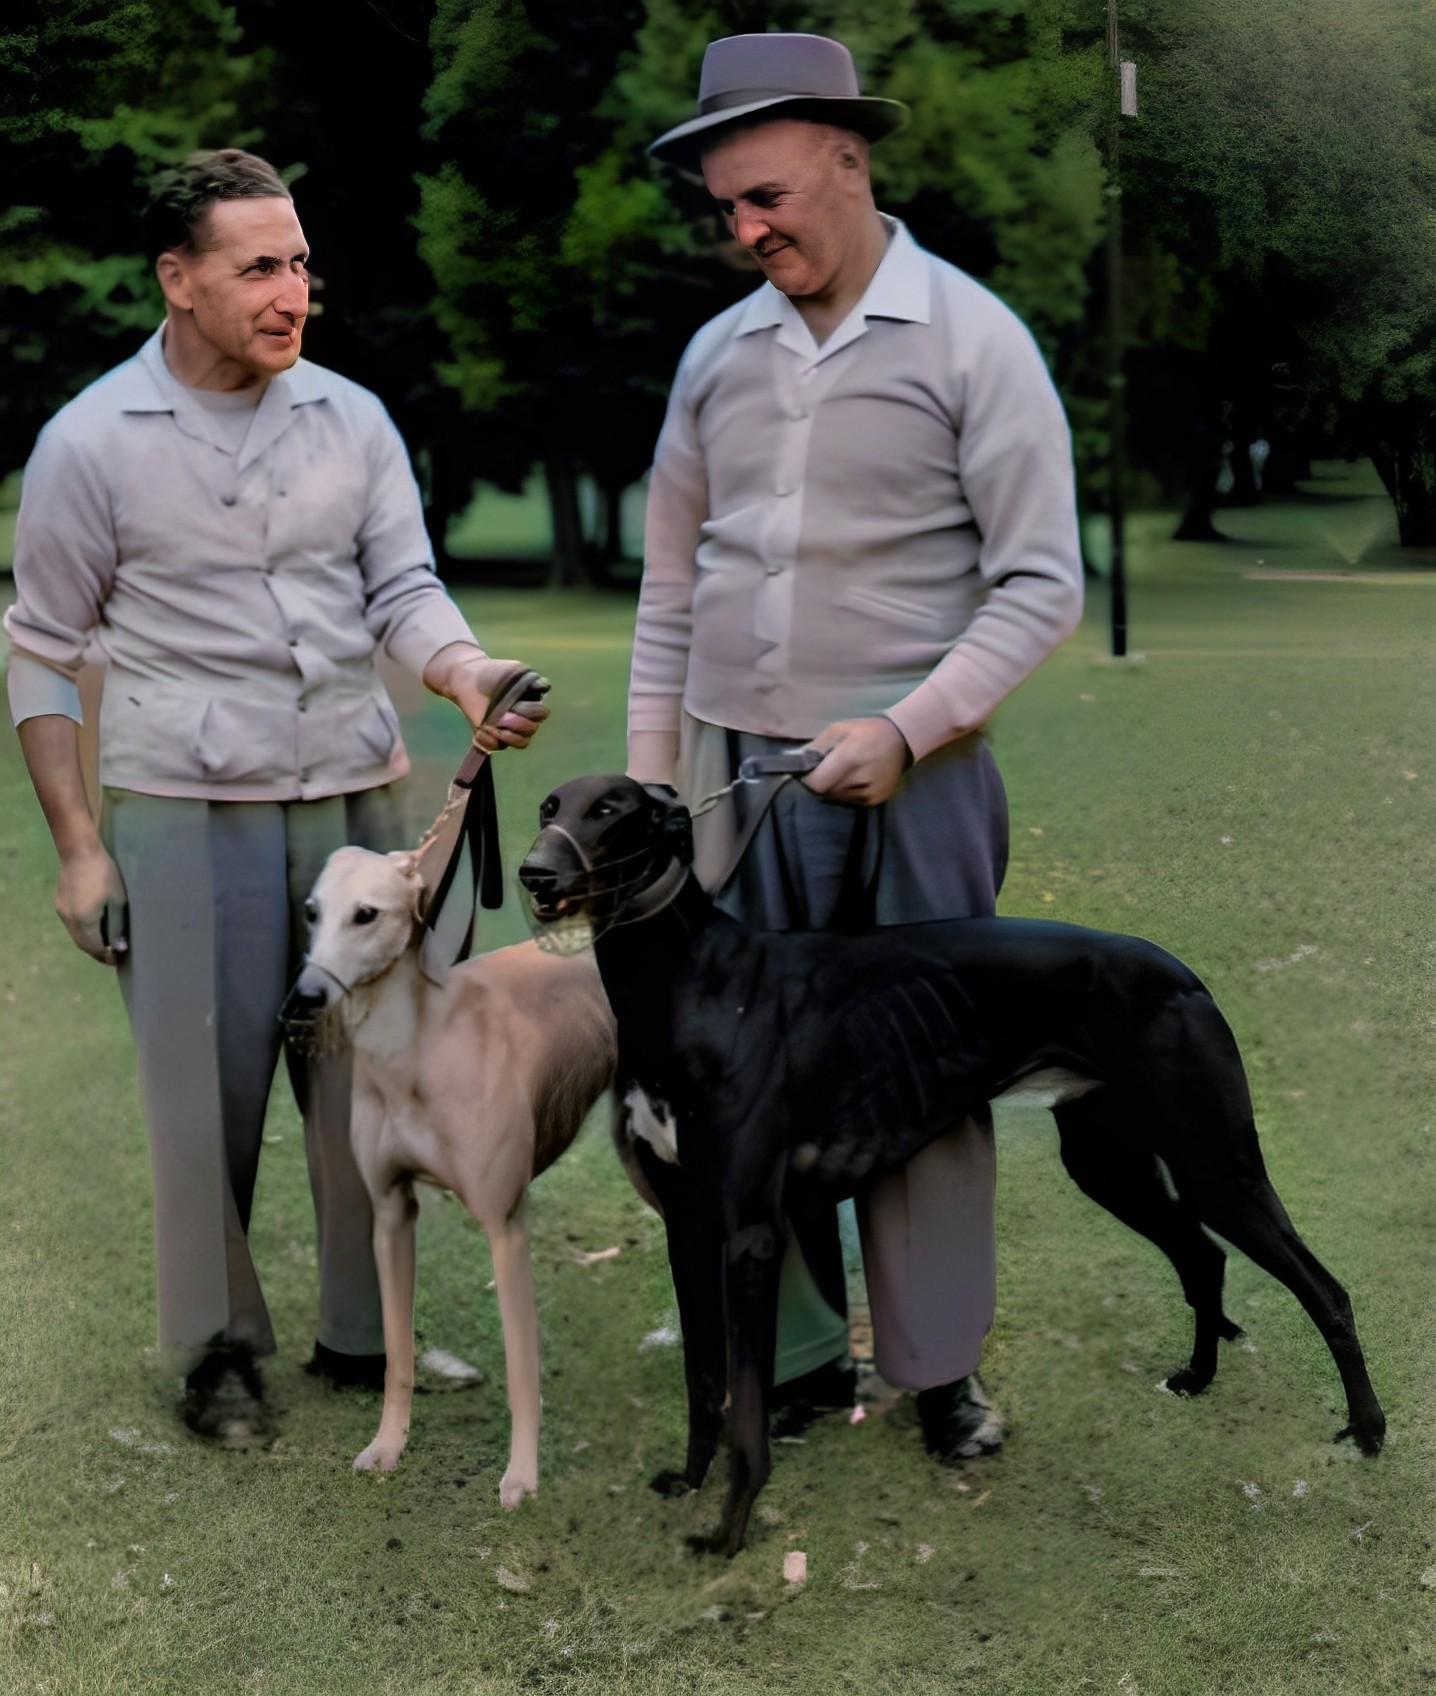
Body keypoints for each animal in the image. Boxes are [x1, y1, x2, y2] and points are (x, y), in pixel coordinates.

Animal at [285, 844, 615, 1507]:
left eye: (366, 914)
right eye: (311, 911)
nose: (302, 997)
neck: (419, 1047)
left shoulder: (503, 1225)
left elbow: (521, 1369)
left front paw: (521, 1477)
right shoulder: (390, 1213)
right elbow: (396, 1356)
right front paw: (387, 1447)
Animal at [517, 774, 1386, 1556]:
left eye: (612, 810)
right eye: (548, 806)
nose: (534, 873)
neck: (690, 981)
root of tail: (1183, 972)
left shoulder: (750, 1234)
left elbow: (746, 1413)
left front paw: (729, 1533)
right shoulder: (689, 1226)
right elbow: (705, 1382)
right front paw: (688, 1484)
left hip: (1215, 1163)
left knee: (1325, 1290)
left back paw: (1369, 1430)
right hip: (1111, 1162)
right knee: (1202, 1256)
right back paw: (1198, 1377)